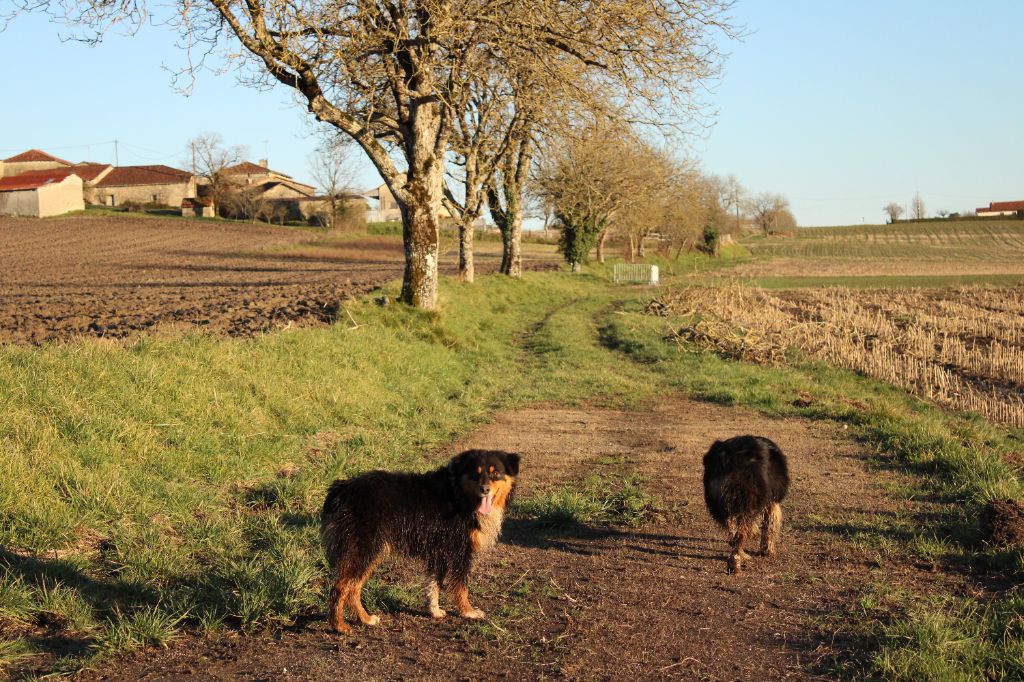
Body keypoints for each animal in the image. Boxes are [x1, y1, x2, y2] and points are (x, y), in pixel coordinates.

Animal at [319, 446, 520, 630]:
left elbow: (434, 583)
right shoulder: (460, 551)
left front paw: (434, 611)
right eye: (474, 473)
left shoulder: (440, 551)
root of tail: (343, 489)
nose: (484, 489)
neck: (459, 495)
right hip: (365, 549)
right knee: (340, 588)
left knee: (353, 588)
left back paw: (365, 619)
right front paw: (468, 611)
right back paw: (340, 626)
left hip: (371, 551)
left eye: (496, 473)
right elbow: (461, 587)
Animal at [704, 432, 790, 569]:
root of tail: (727, 456)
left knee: (733, 534)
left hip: (722, 505)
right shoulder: (772, 501)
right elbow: (769, 527)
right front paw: (767, 551)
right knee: (740, 535)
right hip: (747, 503)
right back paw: (738, 558)